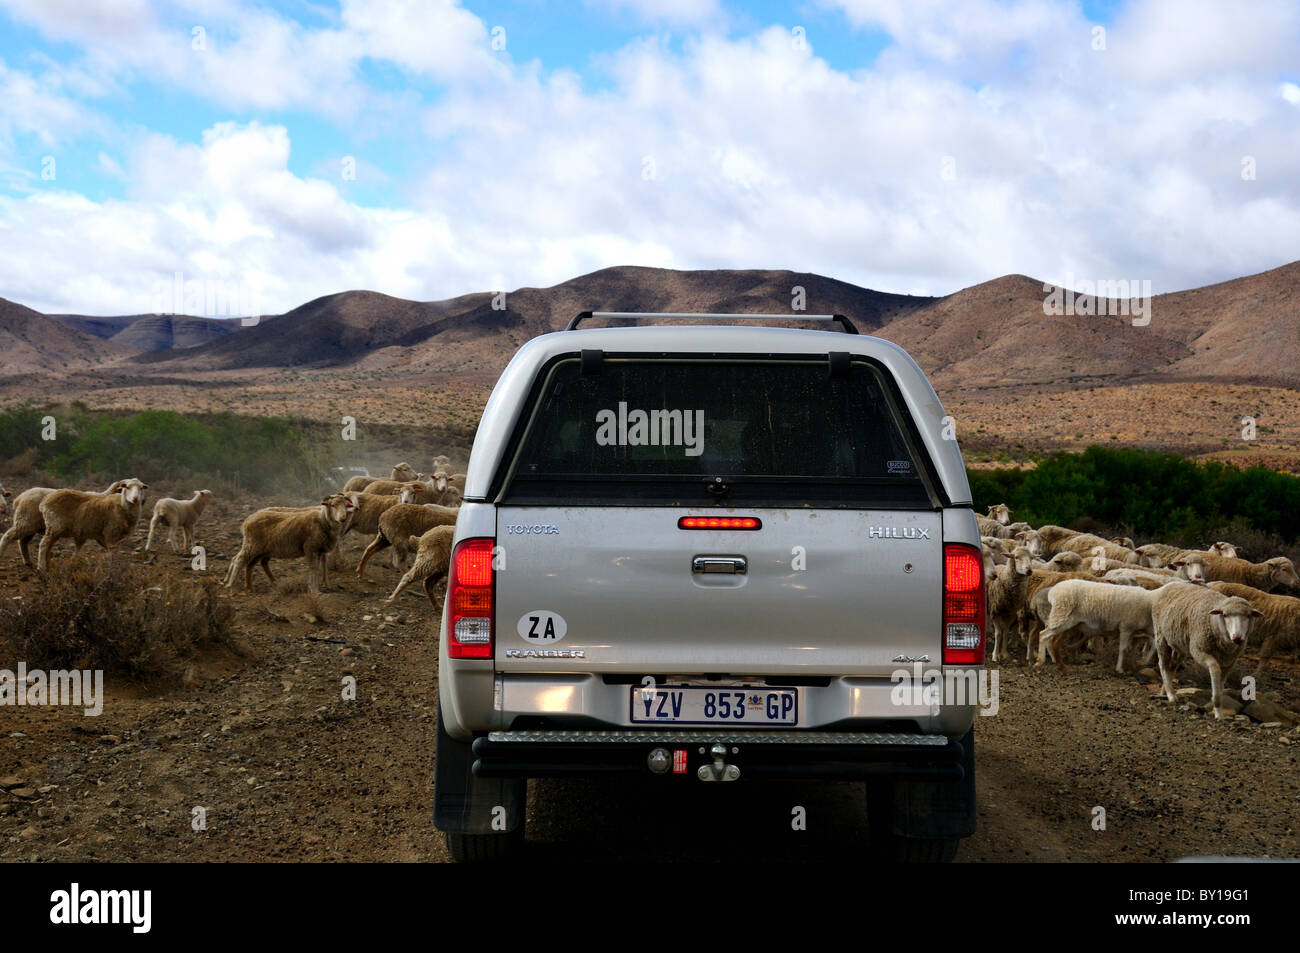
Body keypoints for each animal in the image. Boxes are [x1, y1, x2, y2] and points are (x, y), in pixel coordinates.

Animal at [223, 494, 356, 590]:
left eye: (346, 505)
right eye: (332, 505)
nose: (343, 518)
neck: (323, 519)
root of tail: (247, 520)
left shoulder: (321, 549)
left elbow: (323, 567)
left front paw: (326, 585)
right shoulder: (310, 548)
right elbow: (313, 568)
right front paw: (314, 589)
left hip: (261, 548)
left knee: (253, 563)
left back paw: (252, 586)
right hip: (252, 544)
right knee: (239, 559)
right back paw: (230, 584)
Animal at [1154, 582, 1263, 717]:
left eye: (1248, 616)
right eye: (1225, 615)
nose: (1237, 637)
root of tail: (1171, 584)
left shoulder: (1230, 662)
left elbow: (1221, 684)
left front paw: (1218, 710)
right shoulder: (1199, 650)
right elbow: (1215, 670)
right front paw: (1216, 709)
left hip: (1180, 645)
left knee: (1172, 666)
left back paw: (1164, 691)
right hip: (1160, 636)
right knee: (1163, 665)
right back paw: (1171, 695)